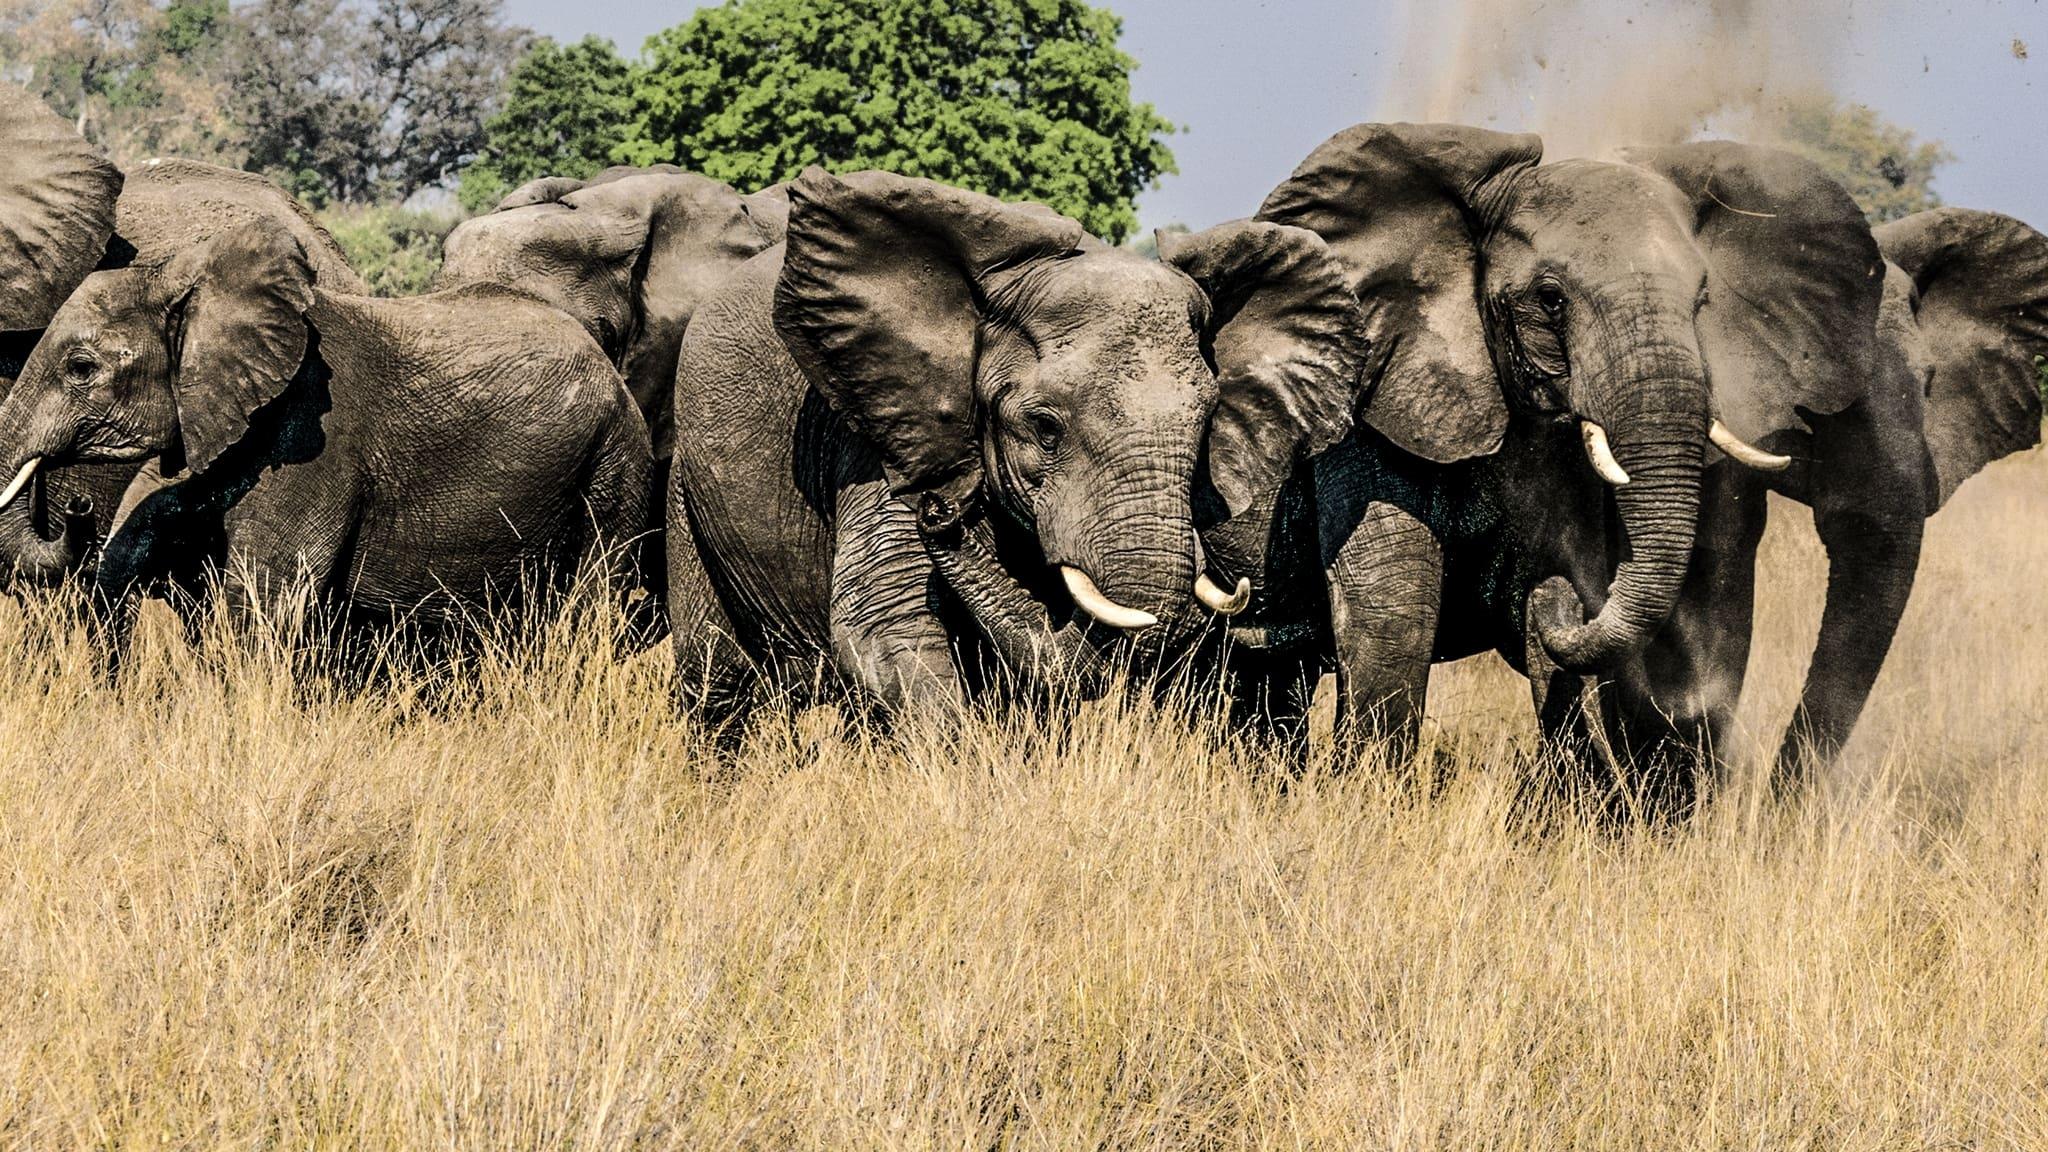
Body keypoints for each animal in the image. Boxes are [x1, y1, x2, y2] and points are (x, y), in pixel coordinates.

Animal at [0, 216, 647, 660]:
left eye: (81, 368)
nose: (78, 509)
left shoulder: (312, 440)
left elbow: (263, 605)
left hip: (614, 464)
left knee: (599, 604)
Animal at [663, 168, 1368, 717]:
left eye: (1205, 426)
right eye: (1045, 428)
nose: (942, 512)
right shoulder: (882, 432)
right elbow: (885, 624)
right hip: (686, 484)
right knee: (716, 677)